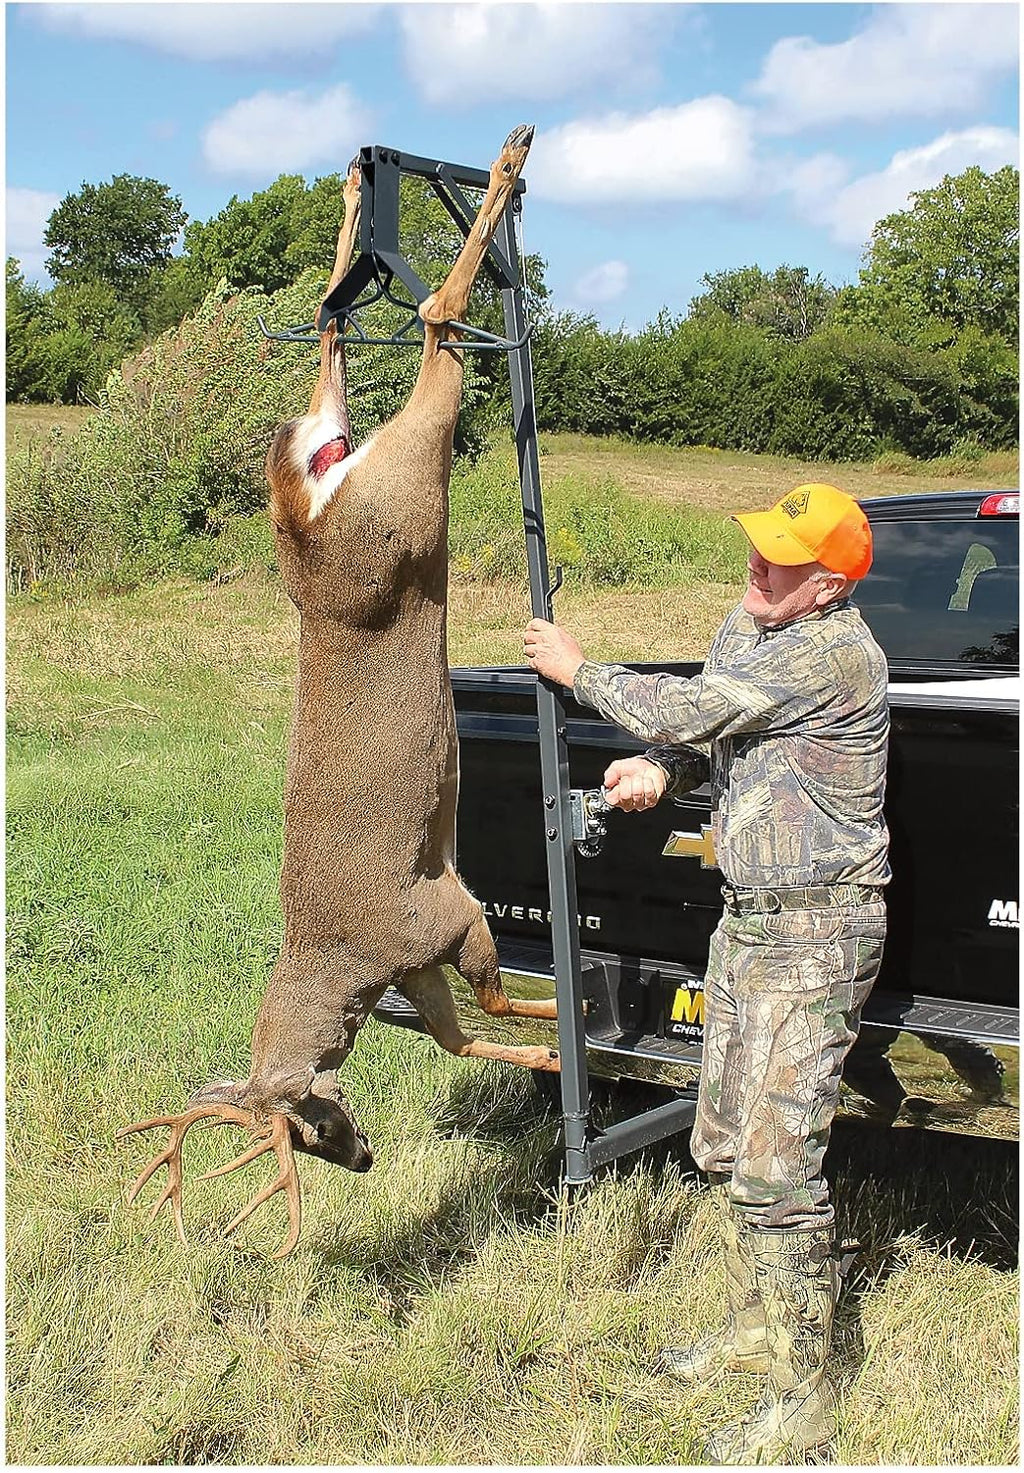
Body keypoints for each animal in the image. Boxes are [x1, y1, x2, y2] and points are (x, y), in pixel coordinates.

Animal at [118, 125, 559, 1259]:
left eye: (307, 1121)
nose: (360, 1158)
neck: (345, 968)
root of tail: (303, 515)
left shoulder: (442, 913)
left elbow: (493, 998)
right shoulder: (424, 952)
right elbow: (463, 1036)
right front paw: (552, 1053)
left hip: (401, 498)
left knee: (425, 328)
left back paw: (494, 166)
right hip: (381, 495)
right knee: (333, 338)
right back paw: (385, 182)